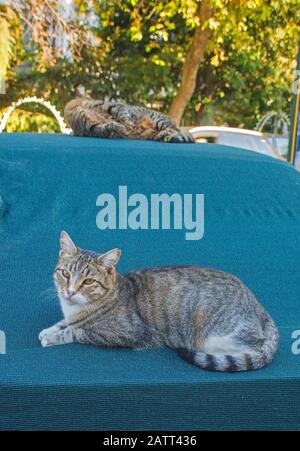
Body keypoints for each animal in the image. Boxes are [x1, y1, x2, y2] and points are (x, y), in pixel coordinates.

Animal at [39, 231, 278, 372]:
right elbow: (64, 323)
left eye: (88, 281)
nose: (69, 292)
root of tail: (257, 303)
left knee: (255, 346)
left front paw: (54, 336)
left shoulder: (125, 333)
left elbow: (77, 331)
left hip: (216, 335)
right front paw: (49, 330)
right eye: (66, 274)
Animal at [63, 96, 195, 143]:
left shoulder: (114, 106)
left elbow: (123, 116)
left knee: (178, 131)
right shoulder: (93, 128)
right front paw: (119, 127)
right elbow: (107, 126)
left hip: (160, 121)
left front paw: (128, 124)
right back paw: (164, 136)